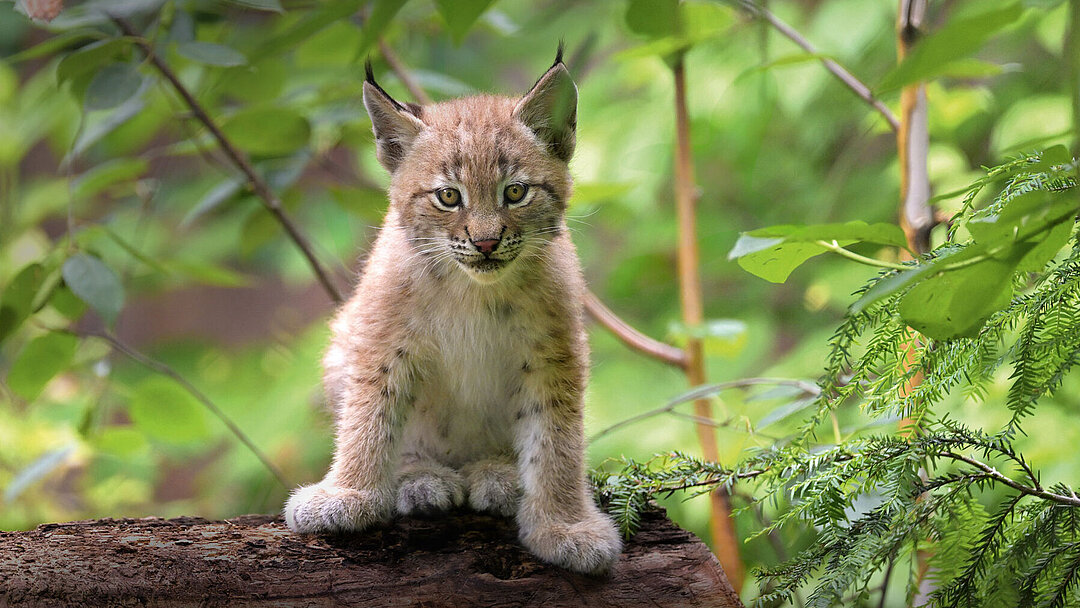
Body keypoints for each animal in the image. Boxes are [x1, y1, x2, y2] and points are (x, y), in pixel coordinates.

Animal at [285, 51, 626, 574]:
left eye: (515, 192)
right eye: (448, 196)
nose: (485, 243)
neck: (473, 290)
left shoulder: (555, 352)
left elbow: (557, 441)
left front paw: (565, 525)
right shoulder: (381, 336)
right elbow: (368, 417)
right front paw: (348, 494)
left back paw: (497, 474)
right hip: (340, 342)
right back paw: (421, 478)